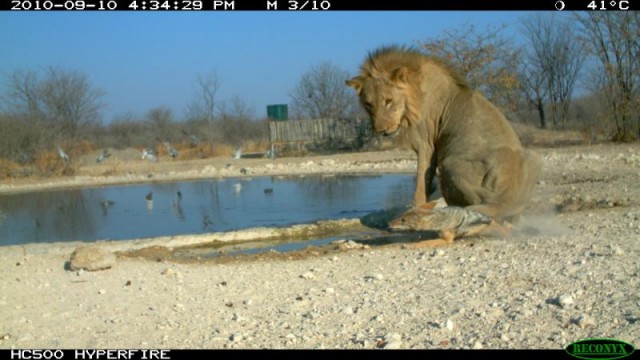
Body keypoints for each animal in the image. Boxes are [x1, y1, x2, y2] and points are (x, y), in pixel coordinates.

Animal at [348, 46, 544, 224]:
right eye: (368, 104)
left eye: (388, 101)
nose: (381, 130)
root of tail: (505, 196)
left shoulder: (426, 144)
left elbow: (420, 183)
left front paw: (416, 208)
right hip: (533, 156)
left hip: (450, 163)